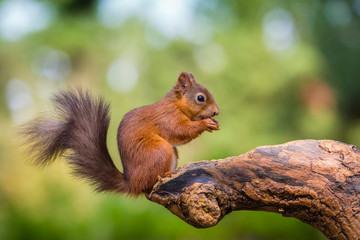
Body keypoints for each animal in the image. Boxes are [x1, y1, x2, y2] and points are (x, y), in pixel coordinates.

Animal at [21, 72, 222, 196]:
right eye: (200, 98)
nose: (216, 112)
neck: (175, 104)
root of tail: (131, 183)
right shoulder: (168, 118)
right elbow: (180, 131)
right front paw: (205, 123)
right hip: (159, 151)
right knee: (148, 184)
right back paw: (163, 176)